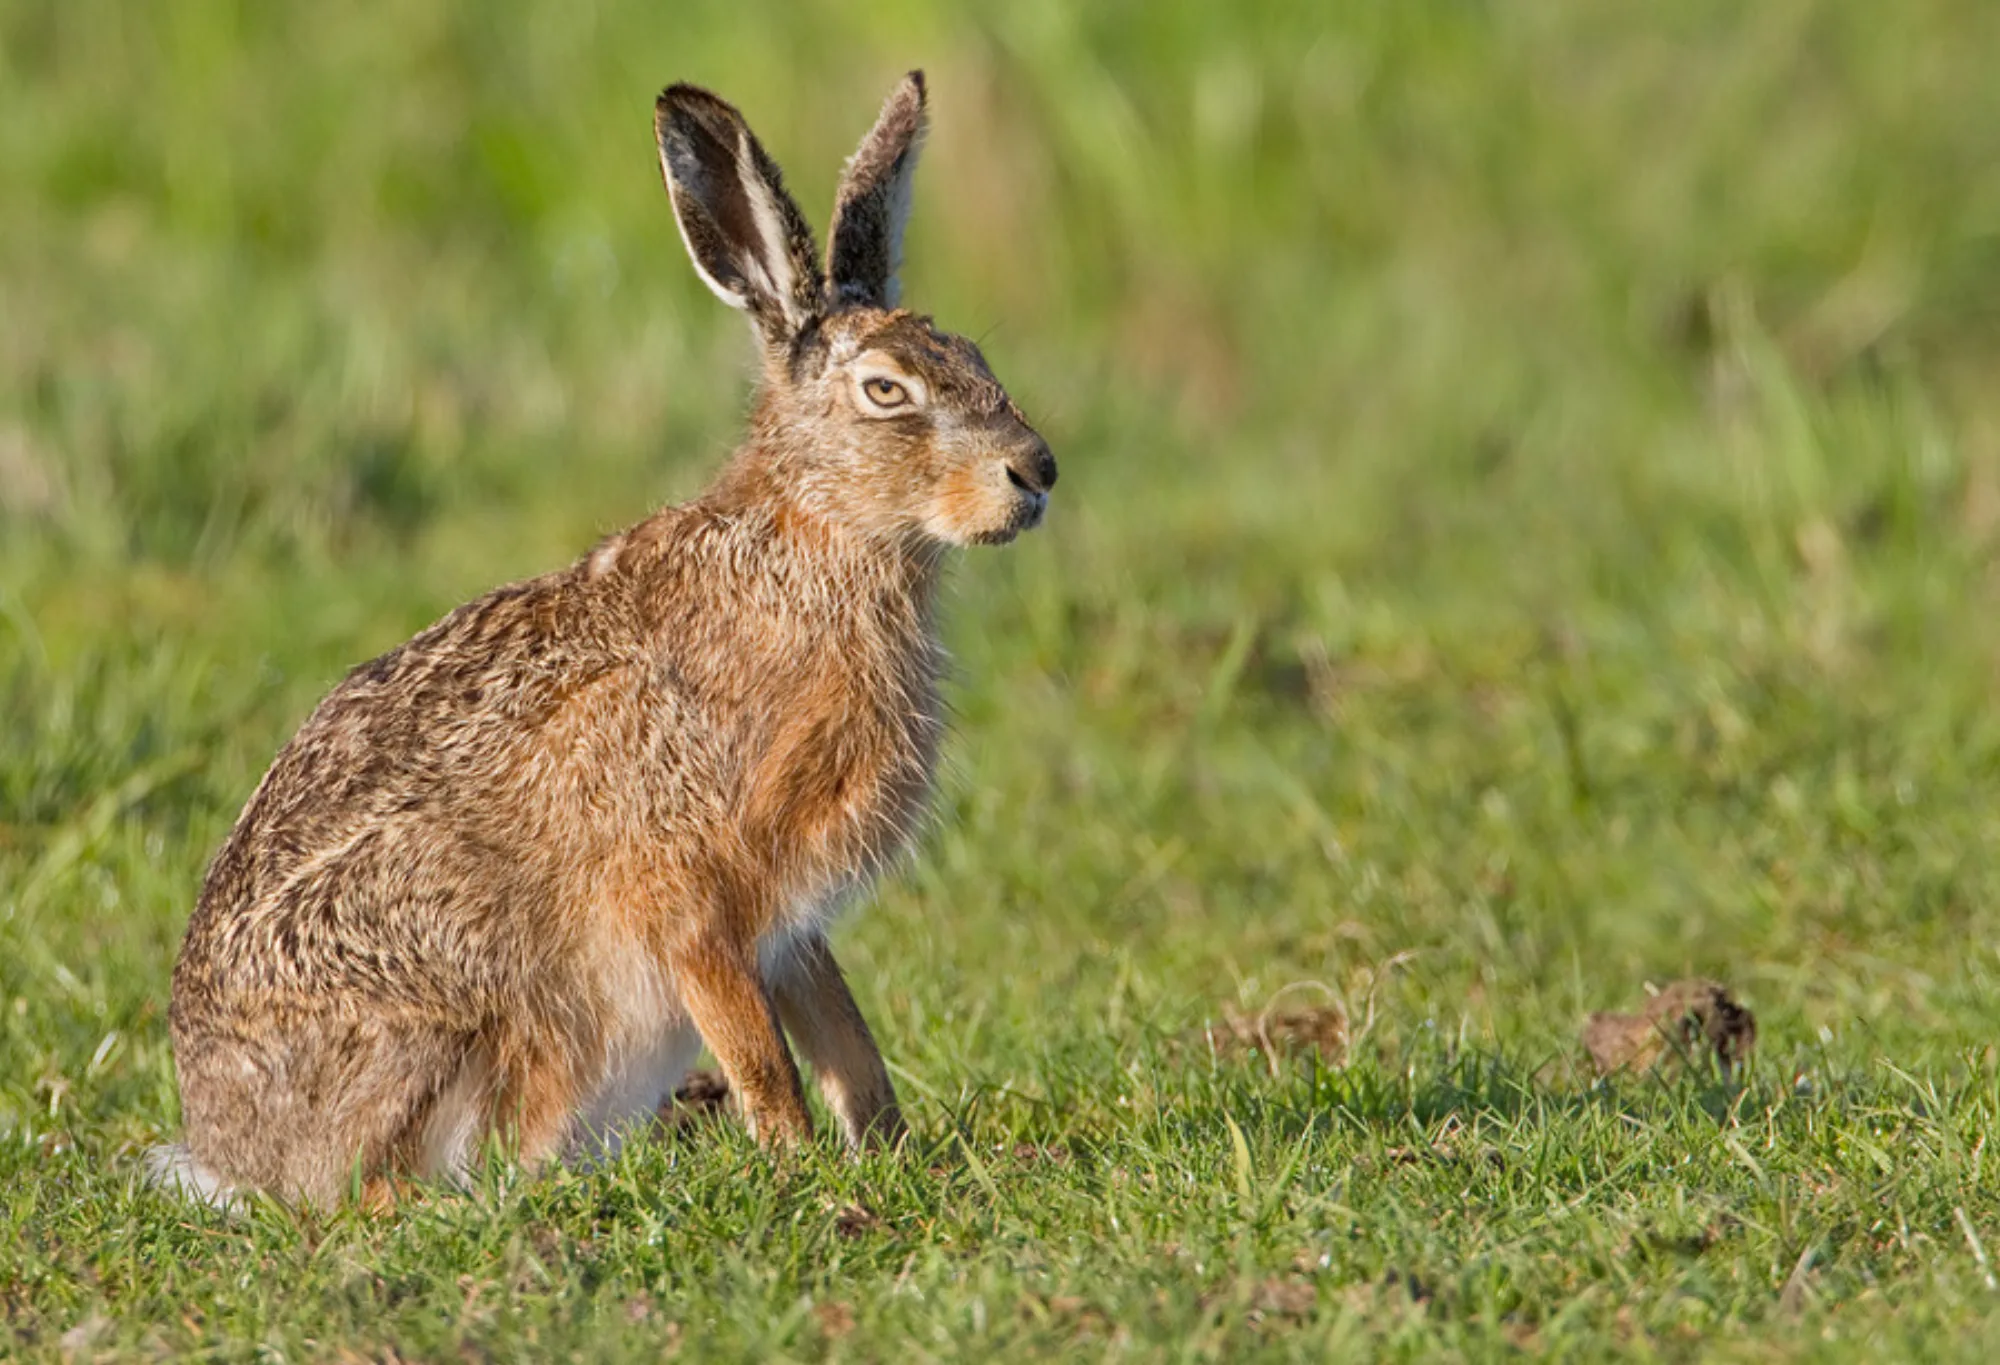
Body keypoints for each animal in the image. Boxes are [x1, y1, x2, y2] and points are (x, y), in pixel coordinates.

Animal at [148, 69, 1057, 1208]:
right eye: (886, 390)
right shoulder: (686, 892)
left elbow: (843, 1037)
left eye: (974, 356)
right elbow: (759, 1051)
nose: (1036, 471)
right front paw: (798, 1167)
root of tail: (230, 1151)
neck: (818, 542)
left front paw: (885, 1153)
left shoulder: (786, 919)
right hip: (446, 990)